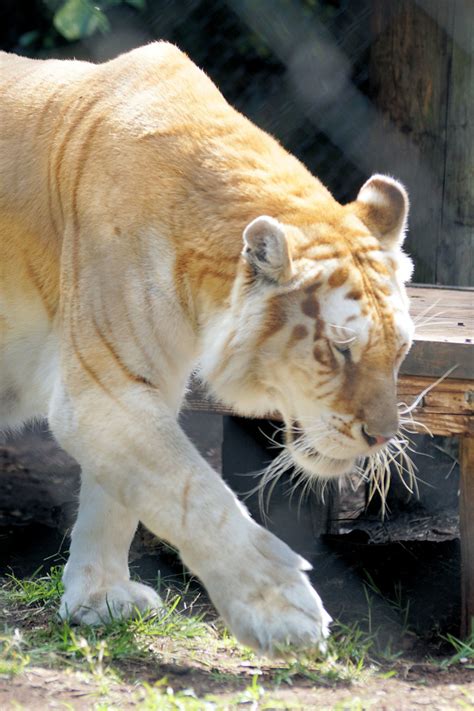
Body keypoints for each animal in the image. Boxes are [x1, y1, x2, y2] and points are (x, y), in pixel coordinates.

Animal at [0, 43, 412, 656]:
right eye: (340, 349)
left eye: (402, 350)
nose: (382, 437)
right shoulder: (102, 389)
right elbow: (194, 494)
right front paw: (284, 612)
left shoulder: (142, 381)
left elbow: (115, 499)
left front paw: (99, 599)